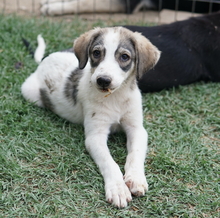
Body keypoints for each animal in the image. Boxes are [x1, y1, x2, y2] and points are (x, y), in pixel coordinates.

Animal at [21, 27, 161, 208]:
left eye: (124, 57)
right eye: (96, 53)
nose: (103, 80)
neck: (115, 97)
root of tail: (46, 59)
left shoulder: (136, 129)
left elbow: (135, 154)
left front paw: (135, 178)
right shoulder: (95, 136)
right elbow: (109, 162)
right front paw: (118, 189)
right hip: (29, 93)